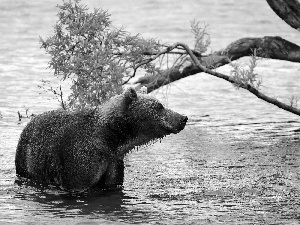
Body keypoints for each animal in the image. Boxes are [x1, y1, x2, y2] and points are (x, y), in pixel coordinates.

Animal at [15, 87, 188, 192]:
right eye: (159, 106)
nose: (183, 118)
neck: (111, 138)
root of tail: (29, 123)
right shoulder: (81, 155)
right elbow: (78, 181)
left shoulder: (113, 159)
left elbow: (112, 183)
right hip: (28, 159)